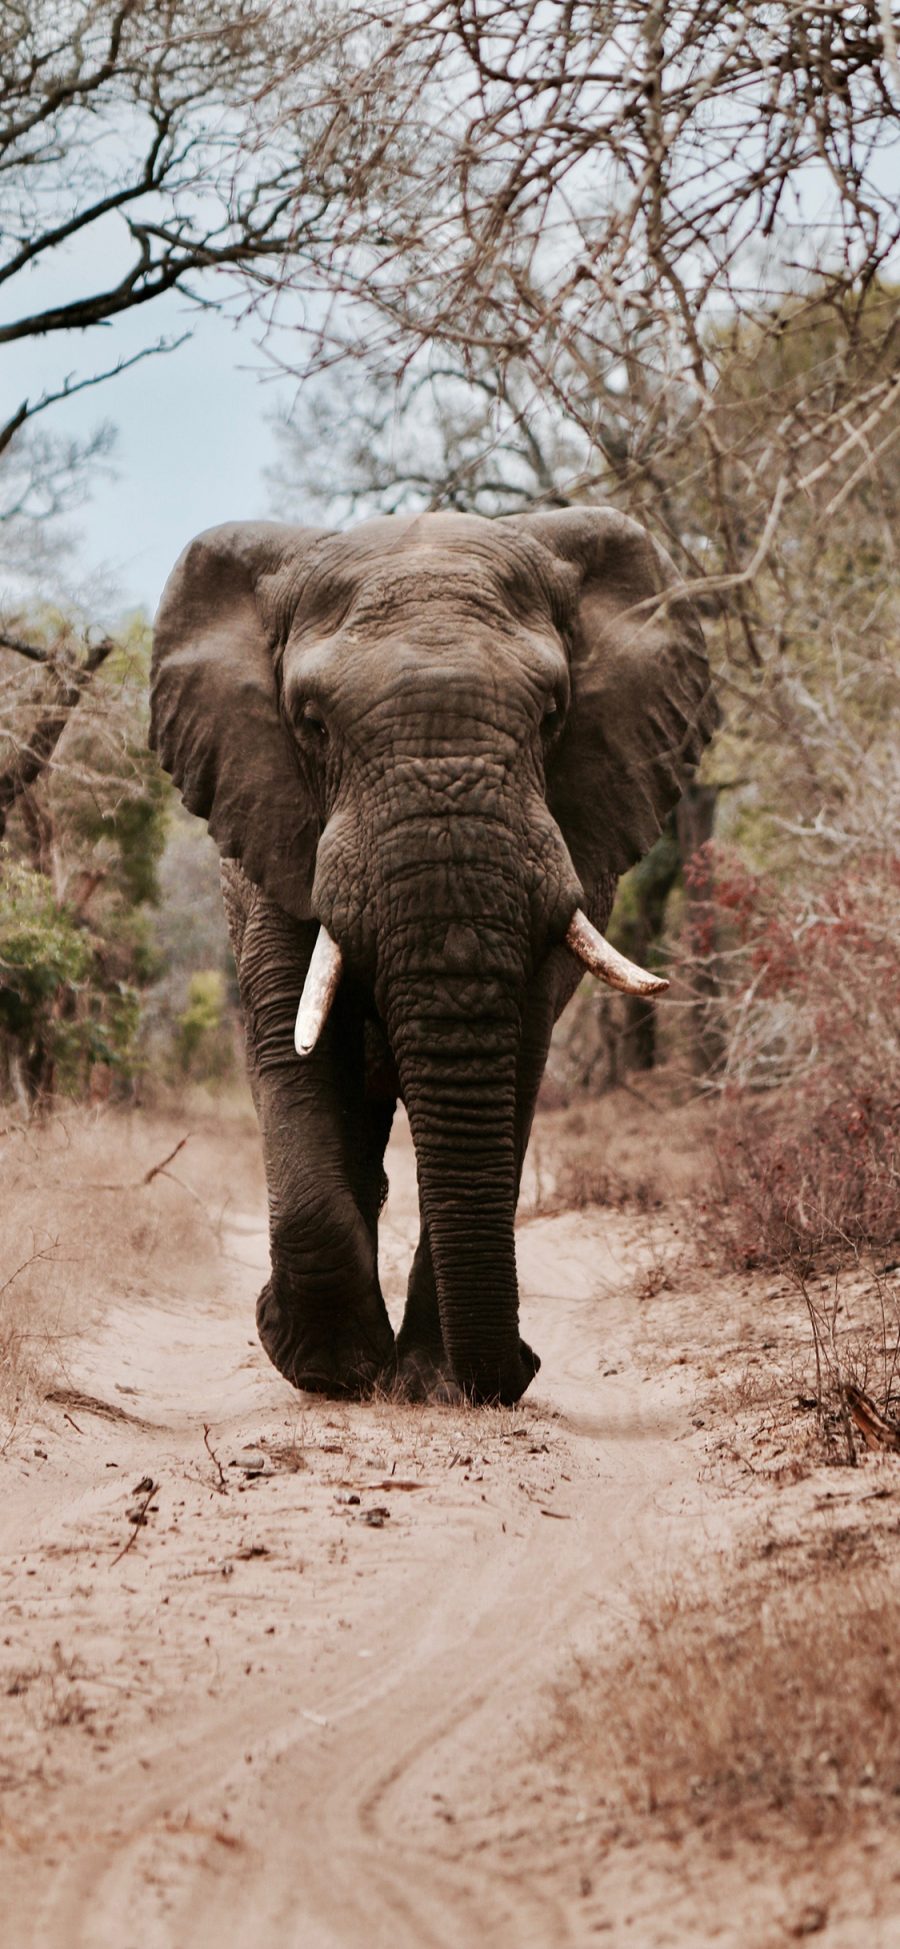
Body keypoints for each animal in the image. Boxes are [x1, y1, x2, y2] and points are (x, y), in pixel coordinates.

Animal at [152, 510, 716, 1411]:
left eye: (552, 714)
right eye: (312, 723)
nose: (522, 1366)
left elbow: (517, 1056)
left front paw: (432, 1382)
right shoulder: (274, 829)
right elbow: (292, 1045)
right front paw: (330, 1370)